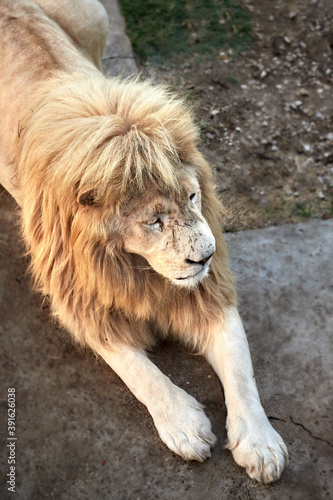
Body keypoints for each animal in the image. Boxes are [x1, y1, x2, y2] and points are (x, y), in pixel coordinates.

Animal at [0, 0, 286, 484]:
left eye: (192, 196)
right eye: (154, 220)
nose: (206, 257)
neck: (133, 265)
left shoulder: (210, 294)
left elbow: (242, 371)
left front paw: (261, 443)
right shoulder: (85, 299)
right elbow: (140, 372)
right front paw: (184, 424)